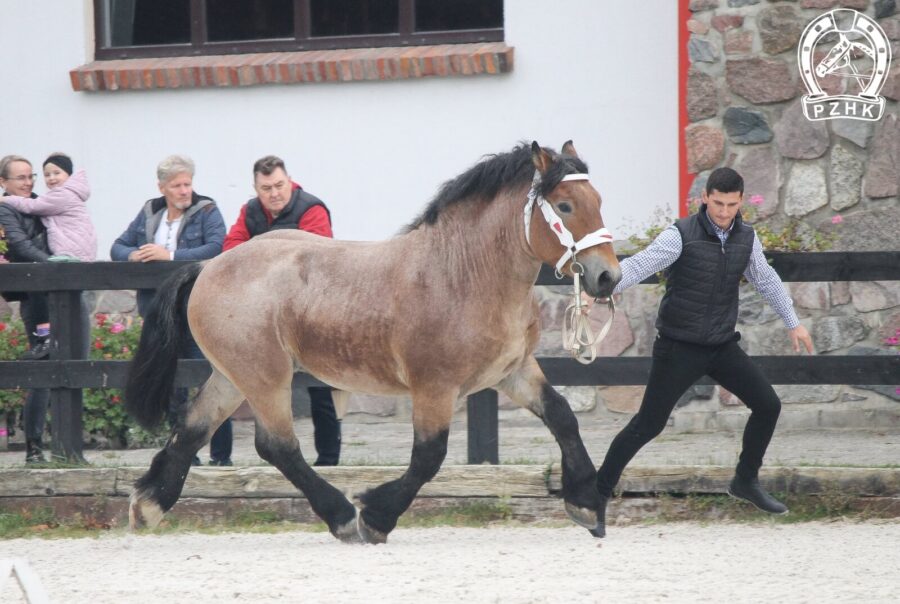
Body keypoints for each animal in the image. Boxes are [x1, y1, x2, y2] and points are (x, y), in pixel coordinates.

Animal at [125, 140, 620, 544]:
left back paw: (149, 504)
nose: (607, 276)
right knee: (277, 447)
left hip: (233, 376)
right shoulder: (434, 386)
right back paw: (342, 516)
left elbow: (562, 416)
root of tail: (209, 267)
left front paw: (586, 504)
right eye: (565, 205)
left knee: (193, 427)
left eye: (599, 200)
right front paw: (377, 516)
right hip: (265, 377)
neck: (462, 274)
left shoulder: (512, 372)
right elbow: (428, 456)